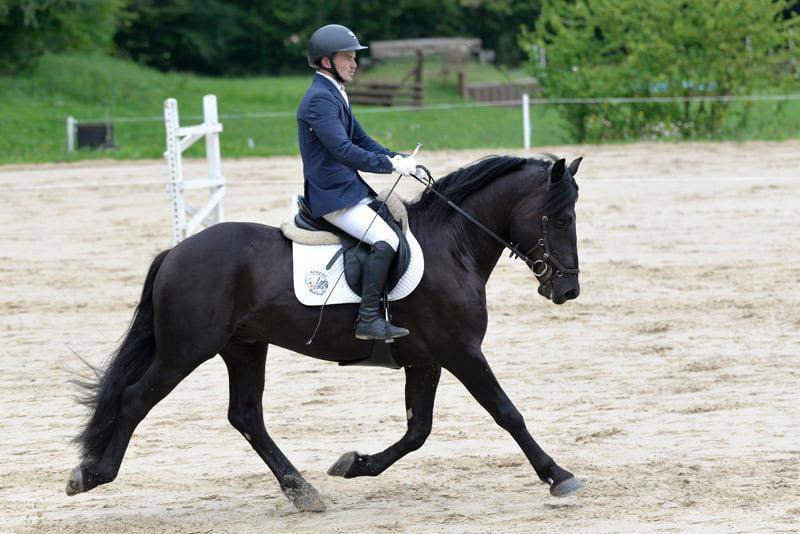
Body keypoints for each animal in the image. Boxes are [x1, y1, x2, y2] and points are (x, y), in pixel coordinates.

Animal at [67, 154, 584, 512]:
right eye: (562, 219)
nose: (568, 290)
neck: (452, 245)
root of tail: (174, 252)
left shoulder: (426, 359)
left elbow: (418, 431)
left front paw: (355, 465)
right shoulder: (460, 351)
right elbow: (507, 413)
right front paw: (558, 474)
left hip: (244, 347)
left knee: (246, 416)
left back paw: (302, 491)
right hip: (186, 351)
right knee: (135, 398)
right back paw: (93, 475)